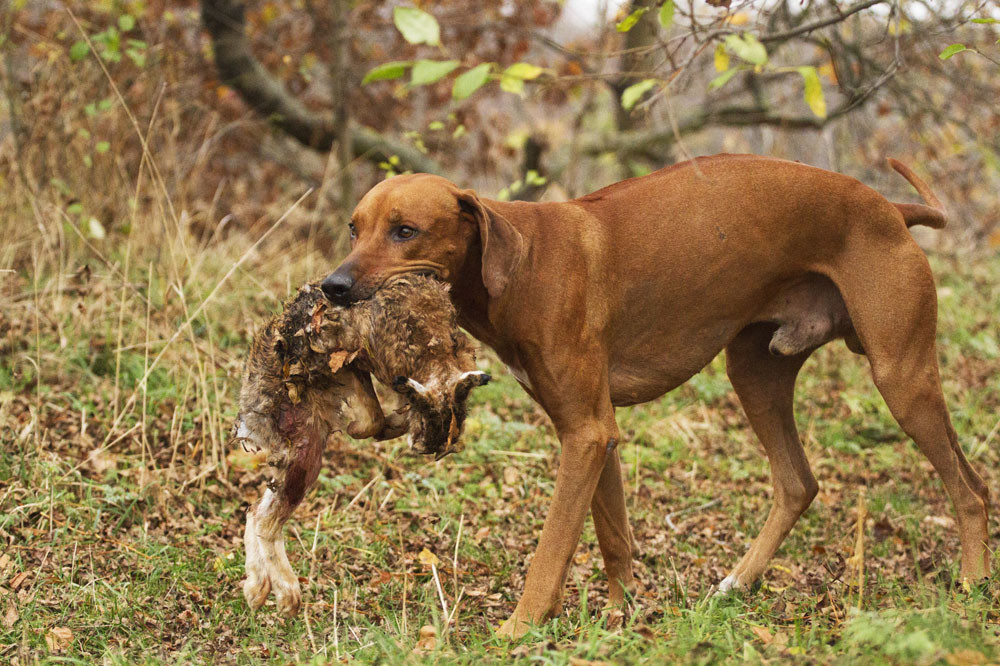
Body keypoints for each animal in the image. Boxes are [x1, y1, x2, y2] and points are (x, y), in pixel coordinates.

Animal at [322, 153, 992, 636]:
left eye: (405, 231)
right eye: (353, 228)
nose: (332, 286)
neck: (520, 261)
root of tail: (889, 207)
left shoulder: (586, 434)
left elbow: (552, 548)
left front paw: (520, 628)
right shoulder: (593, 434)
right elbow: (613, 537)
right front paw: (621, 618)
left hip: (901, 377)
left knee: (972, 488)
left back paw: (972, 586)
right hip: (755, 372)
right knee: (799, 482)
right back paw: (738, 583)